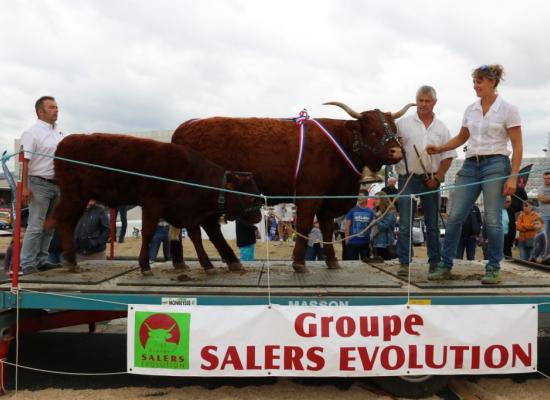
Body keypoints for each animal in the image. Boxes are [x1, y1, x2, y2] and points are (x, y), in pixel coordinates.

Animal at [47, 134, 264, 276]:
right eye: (250, 198)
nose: (259, 217)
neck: (192, 175)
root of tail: (67, 141)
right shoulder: (153, 204)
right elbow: (148, 233)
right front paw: (144, 266)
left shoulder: (188, 212)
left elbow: (199, 237)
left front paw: (210, 264)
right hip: (74, 196)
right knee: (64, 221)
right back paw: (71, 261)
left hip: (79, 199)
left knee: (68, 223)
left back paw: (71, 261)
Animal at [171, 101, 414, 274]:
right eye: (373, 131)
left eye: (394, 130)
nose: (397, 151)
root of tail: (186, 126)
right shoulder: (310, 193)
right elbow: (305, 226)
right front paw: (299, 262)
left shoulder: (327, 200)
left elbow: (326, 229)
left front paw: (332, 260)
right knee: (208, 227)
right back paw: (224, 261)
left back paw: (187, 262)